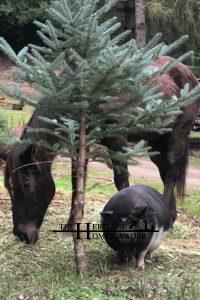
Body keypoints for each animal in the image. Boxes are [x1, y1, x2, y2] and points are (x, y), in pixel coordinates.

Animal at [3, 56, 200, 244]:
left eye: (27, 184)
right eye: (7, 186)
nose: (21, 234)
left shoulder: (117, 141)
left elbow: (121, 181)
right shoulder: (79, 144)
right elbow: (77, 182)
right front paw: (71, 226)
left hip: (176, 136)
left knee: (171, 175)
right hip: (156, 142)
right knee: (165, 172)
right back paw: (171, 218)